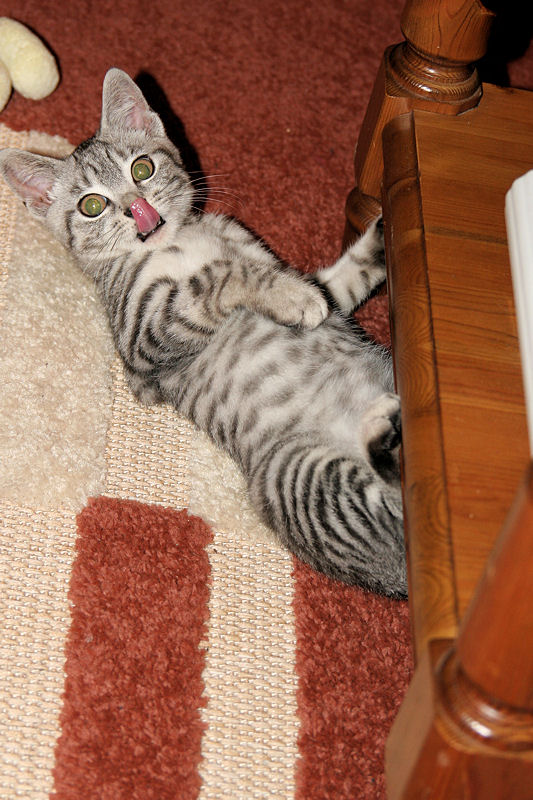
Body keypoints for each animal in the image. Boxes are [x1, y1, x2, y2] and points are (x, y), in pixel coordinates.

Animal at [0, 70, 406, 600]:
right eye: (92, 205)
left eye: (143, 169)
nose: (138, 209)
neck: (182, 240)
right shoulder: (143, 338)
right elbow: (219, 277)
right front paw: (287, 296)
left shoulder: (298, 276)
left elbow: (336, 282)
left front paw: (380, 235)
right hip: (293, 476)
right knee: (397, 502)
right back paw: (383, 427)